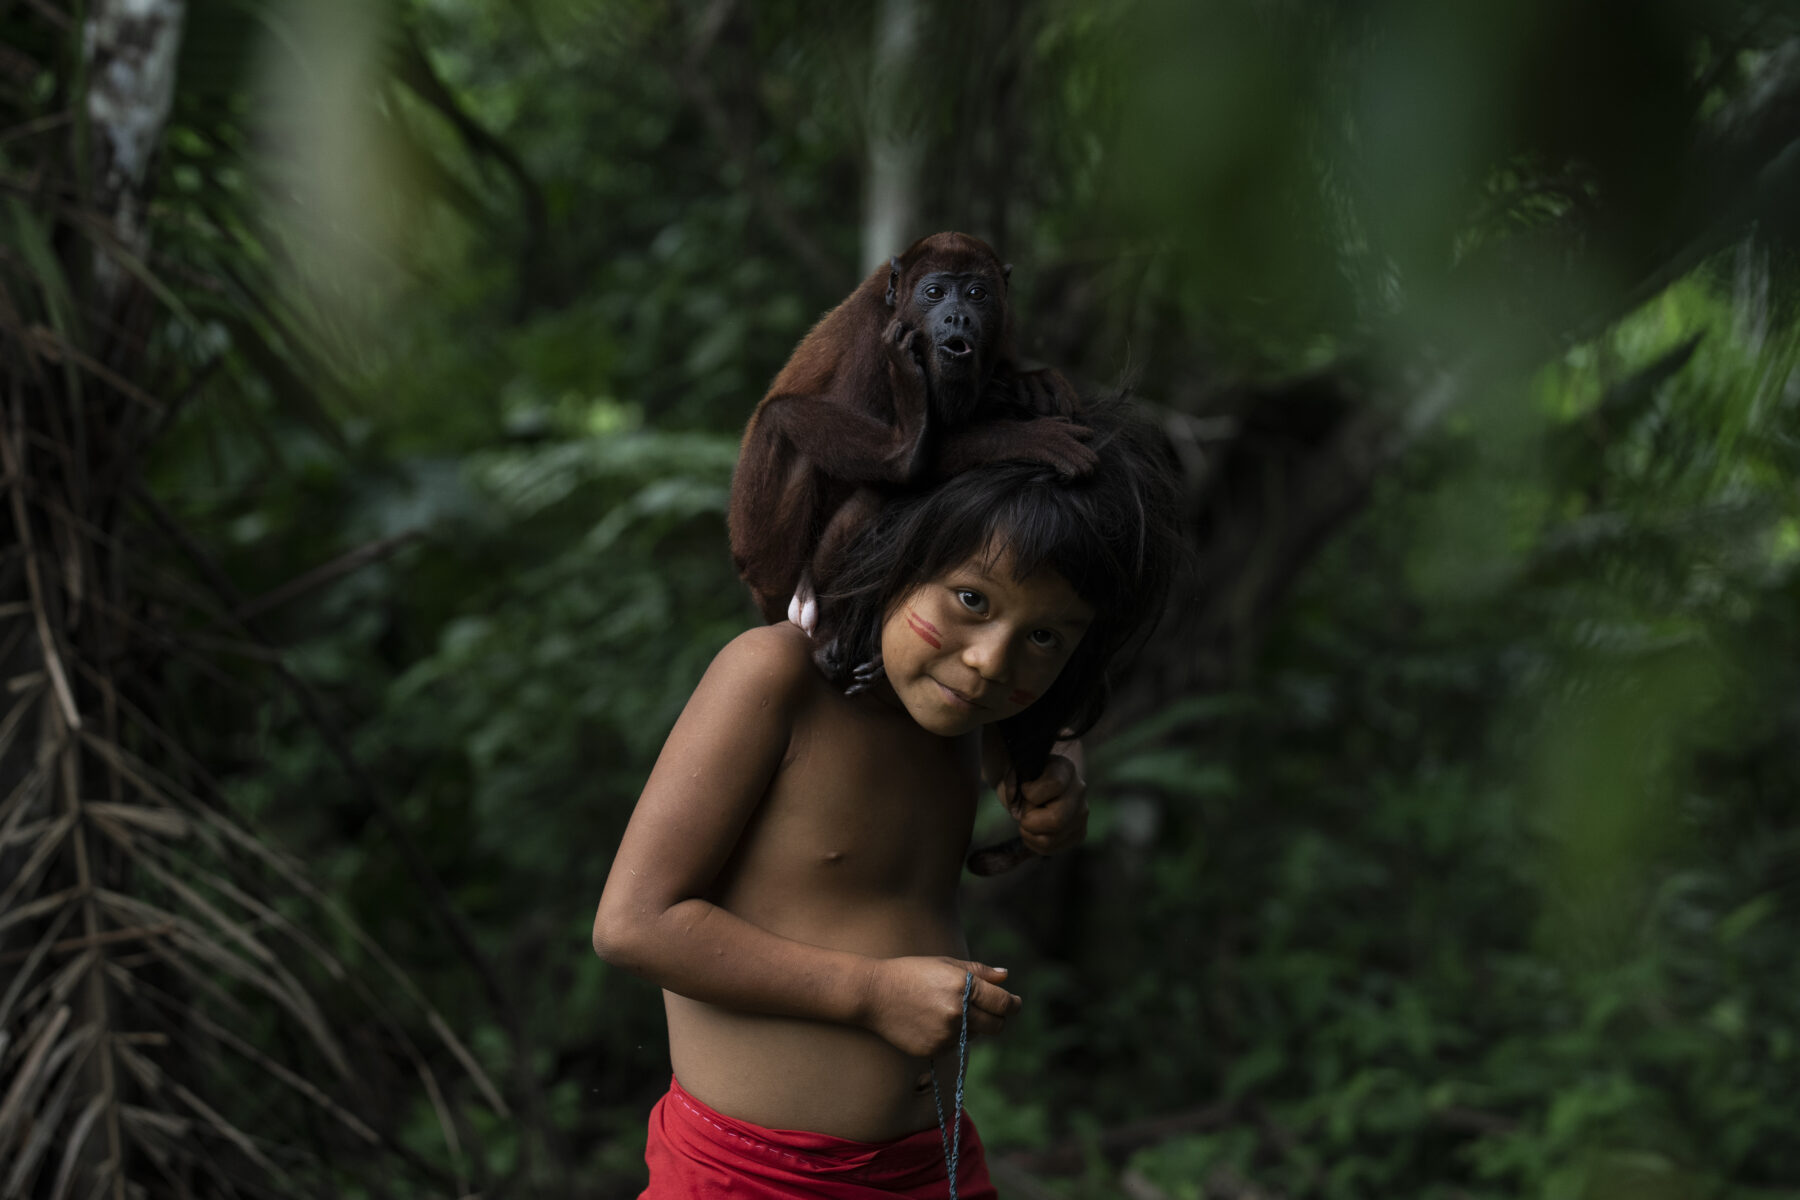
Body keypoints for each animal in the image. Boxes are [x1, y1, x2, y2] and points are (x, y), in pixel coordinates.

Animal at [730, 230, 1094, 633]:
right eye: (934, 292)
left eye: (977, 293)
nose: (957, 317)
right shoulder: (873, 339)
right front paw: (1027, 438)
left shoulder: (1005, 322)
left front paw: (1032, 382)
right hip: (766, 562)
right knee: (782, 418)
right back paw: (903, 454)